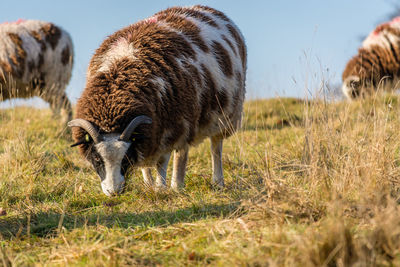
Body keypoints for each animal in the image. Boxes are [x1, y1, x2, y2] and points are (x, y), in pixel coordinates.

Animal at [68, 4, 247, 197]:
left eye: (125, 158)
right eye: (96, 158)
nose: (113, 192)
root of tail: (203, 7)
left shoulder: (167, 127)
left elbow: (161, 163)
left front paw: (161, 188)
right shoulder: (148, 133)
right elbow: (145, 165)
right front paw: (149, 185)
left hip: (217, 116)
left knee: (213, 148)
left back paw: (208, 182)